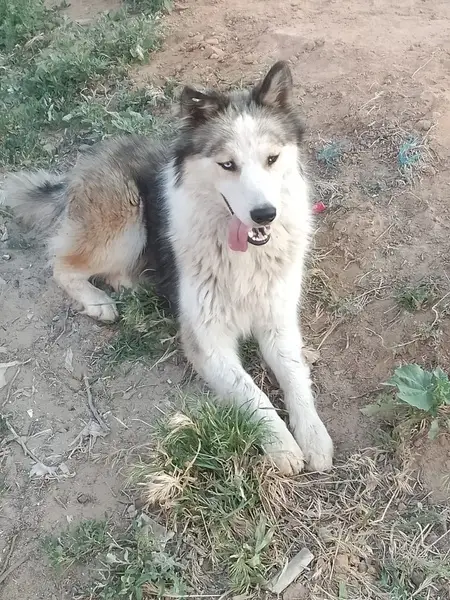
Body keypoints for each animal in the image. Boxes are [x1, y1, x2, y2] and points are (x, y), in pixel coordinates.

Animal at [5, 61, 333, 475]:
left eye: (272, 159)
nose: (265, 215)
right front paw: (281, 445)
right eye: (228, 164)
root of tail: (88, 160)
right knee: (60, 261)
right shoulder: (206, 341)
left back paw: (129, 283)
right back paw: (98, 301)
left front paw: (314, 436)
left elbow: (295, 376)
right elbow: (252, 392)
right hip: (126, 223)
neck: (243, 257)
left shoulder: (279, 324)